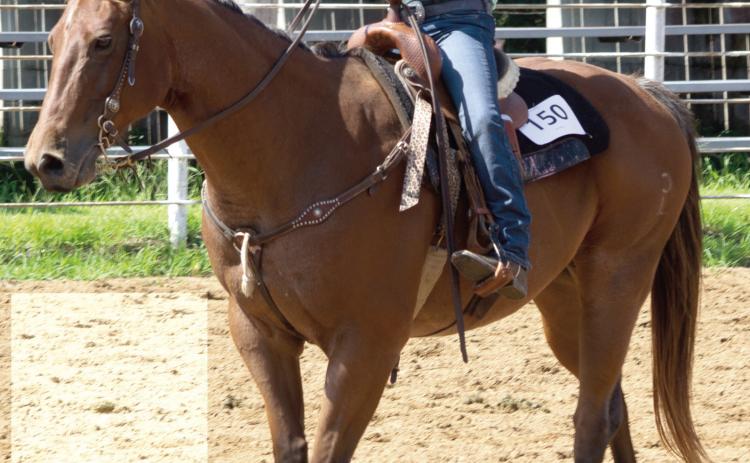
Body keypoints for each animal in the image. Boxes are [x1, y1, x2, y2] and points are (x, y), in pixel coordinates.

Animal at [24, 1, 706, 462]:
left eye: (105, 41)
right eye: (54, 37)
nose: (44, 160)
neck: (298, 144)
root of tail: (648, 94)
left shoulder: (367, 346)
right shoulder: (259, 334)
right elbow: (292, 445)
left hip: (617, 278)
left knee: (591, 417)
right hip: (563, 299)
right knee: (611, 403)